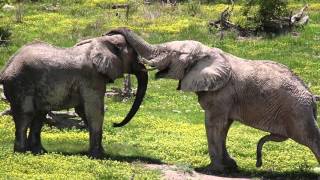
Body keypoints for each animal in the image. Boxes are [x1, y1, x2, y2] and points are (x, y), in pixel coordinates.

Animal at [0, 33, 148, 158]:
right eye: (134, 55)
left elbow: (84, 111)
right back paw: (22, 153)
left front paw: (100, 153)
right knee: (26, 114)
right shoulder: (91, 77)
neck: (103, 41)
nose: (114, 124)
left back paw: (39, 152)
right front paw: (98, 156)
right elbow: (94, 110)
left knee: (39, 115)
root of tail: (7, 66)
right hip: (20, 82)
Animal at [108, 28, 320, 172]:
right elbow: (224, 126)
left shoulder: (222, 93)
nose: (111, 33)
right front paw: (230, 166)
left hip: (296, 112)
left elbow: (214, 124)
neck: (207, 51)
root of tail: (310, 96)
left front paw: (214, 169)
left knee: (310, 137)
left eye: (173, 54)